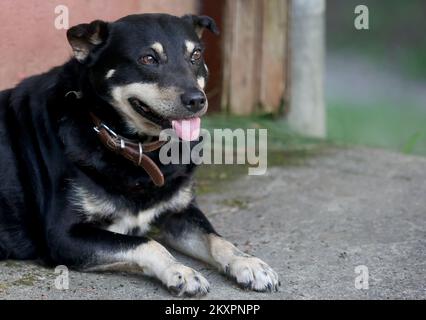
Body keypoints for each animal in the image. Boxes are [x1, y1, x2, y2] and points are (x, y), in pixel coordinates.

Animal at [0, 13, 280, 296]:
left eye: (196, 55)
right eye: (148, 59)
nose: (197, 100)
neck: (137, 147)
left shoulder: (179, 212)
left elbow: (216, 238)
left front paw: (248, 262)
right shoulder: (63, 235)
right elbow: (146, 242)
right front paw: (180, 271)